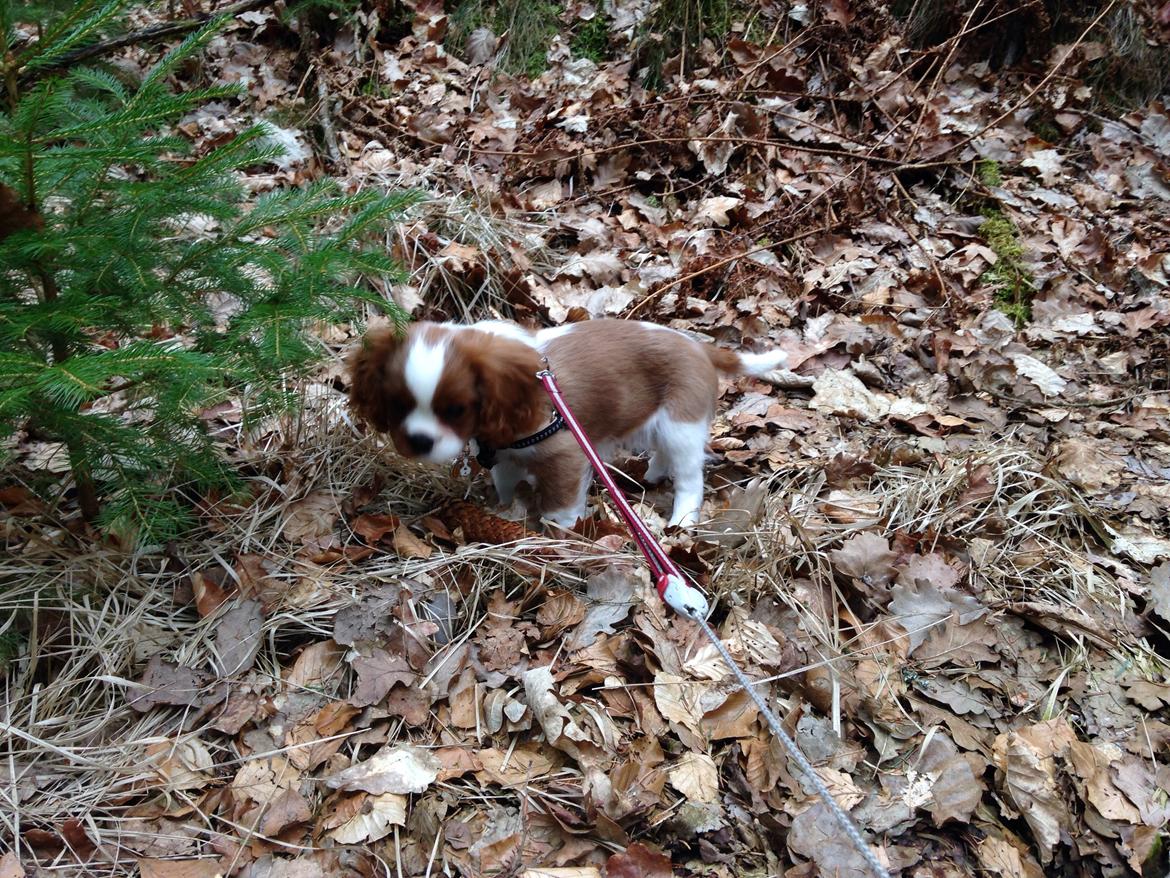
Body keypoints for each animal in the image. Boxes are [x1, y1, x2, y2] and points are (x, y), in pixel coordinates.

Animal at [346, 320, 786, 533]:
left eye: (455, 409)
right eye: (398, 404)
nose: (418, 441)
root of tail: (698, 345)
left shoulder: (565, 453)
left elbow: (560, 503)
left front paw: (559, 532)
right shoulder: (504, 456)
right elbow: (506, 485)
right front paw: (504, 512)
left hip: (682, 425)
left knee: (690, 480)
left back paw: (680, 521)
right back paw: (653, 474)